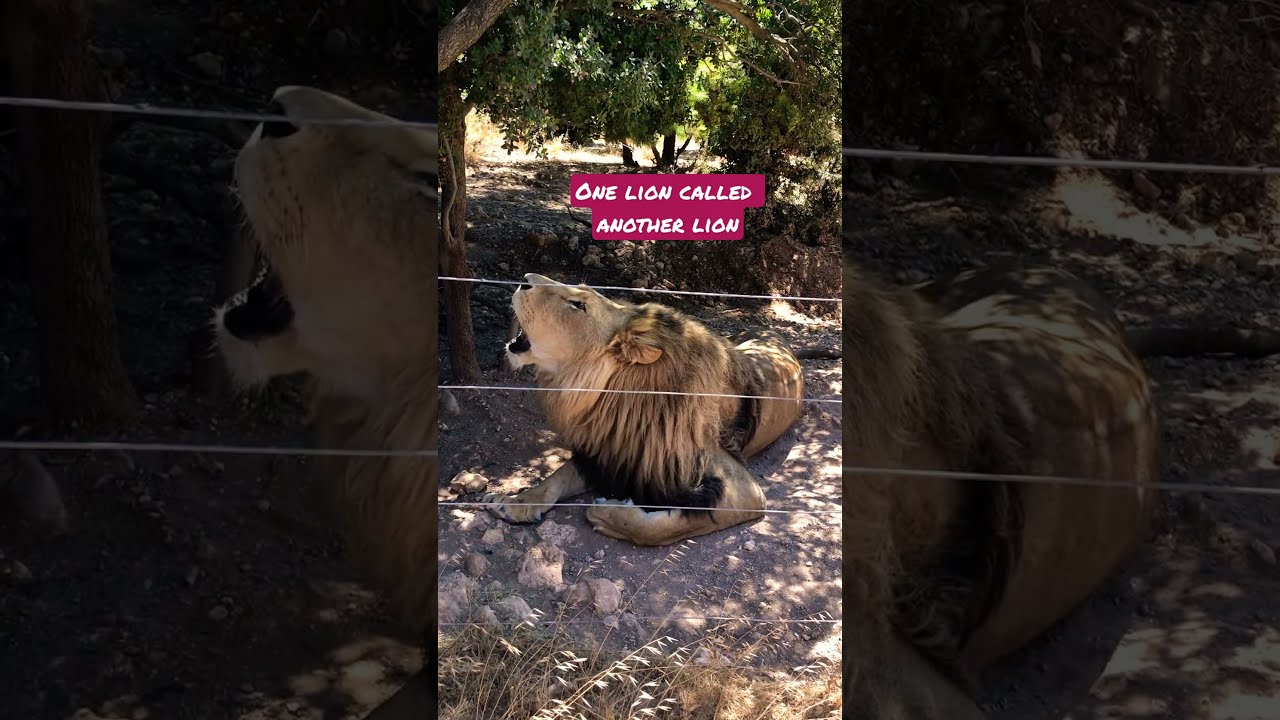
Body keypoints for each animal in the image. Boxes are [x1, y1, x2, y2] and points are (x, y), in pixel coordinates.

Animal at [481, 273, 809, 546]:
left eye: (578, 305)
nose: (525, 278)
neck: (621, 396)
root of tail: (771, 330)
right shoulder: (613, 450)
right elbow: (556, 478)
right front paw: (515, 501)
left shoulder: (745, 491)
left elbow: (661, 528)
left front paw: (607, 515)